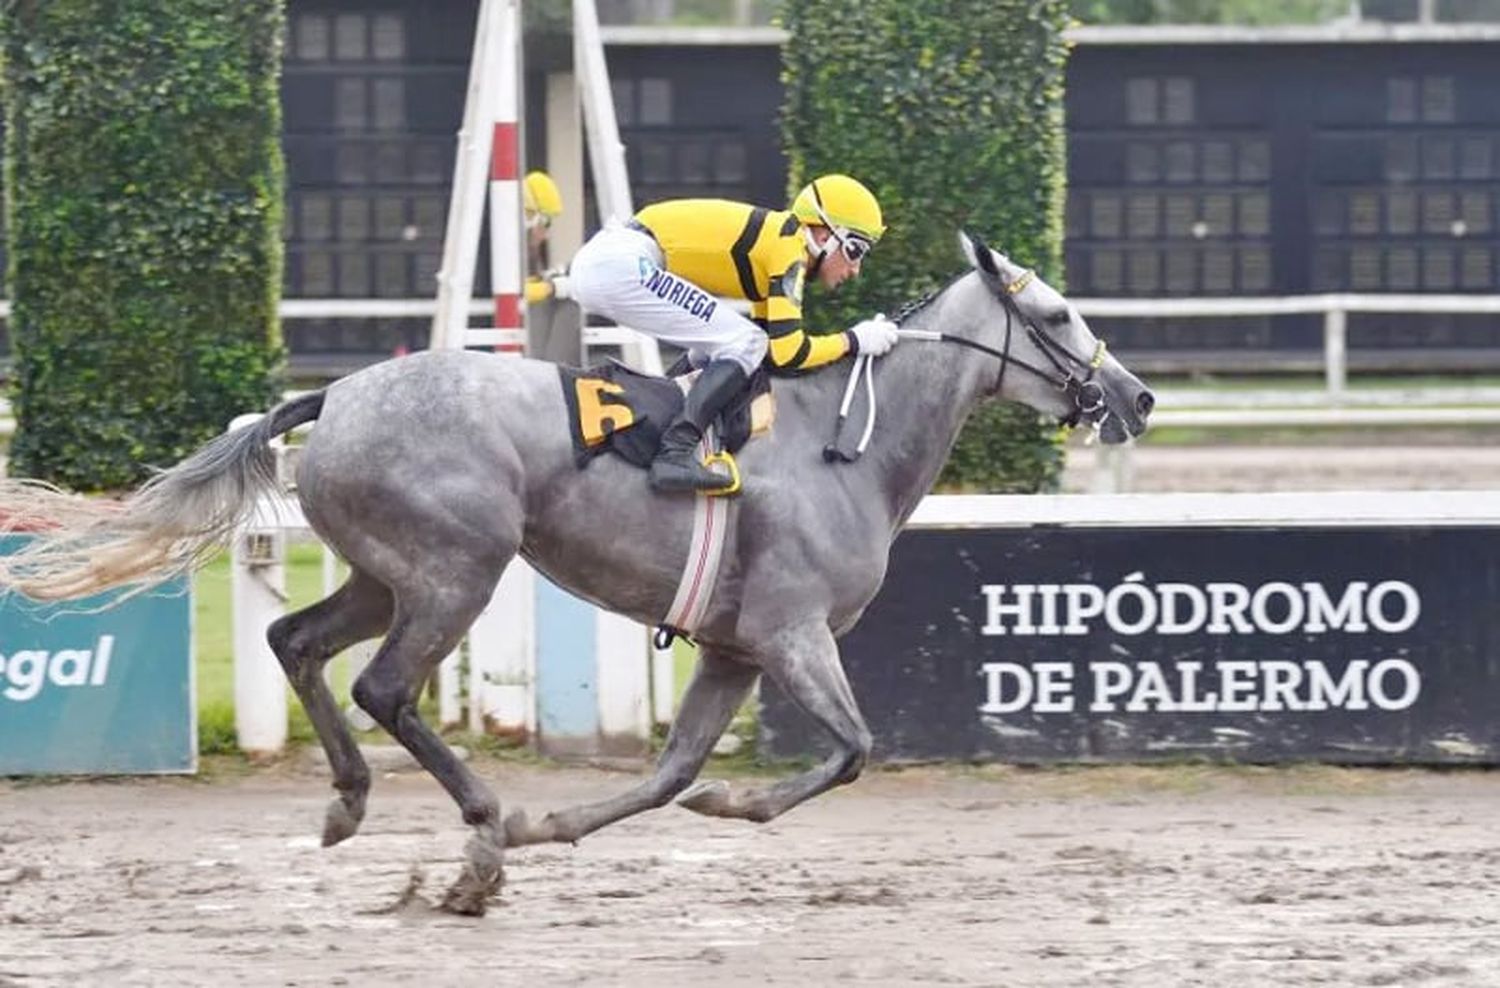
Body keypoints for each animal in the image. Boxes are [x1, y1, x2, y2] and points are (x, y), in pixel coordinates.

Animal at [0, 232, 1152, 911]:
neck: (846, 444)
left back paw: (352, 803)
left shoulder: (735, 647)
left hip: (386, 572)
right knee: (385, 687)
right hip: (457, 568)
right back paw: (476, 842)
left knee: (296, 643)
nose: (1137, 398)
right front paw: (717, 805)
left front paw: (570, 820)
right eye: (1055, 316)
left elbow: (672, 772)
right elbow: (854, 749)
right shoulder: (790, 633)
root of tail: (335, 396)